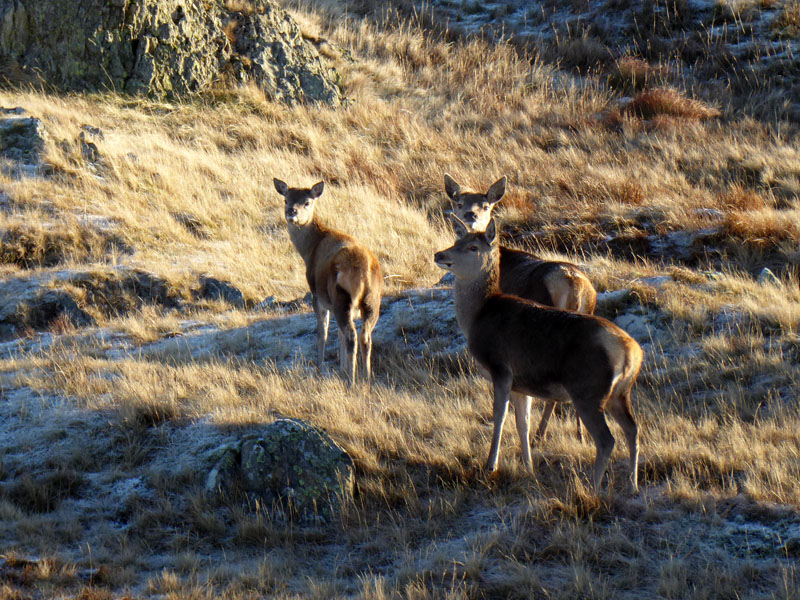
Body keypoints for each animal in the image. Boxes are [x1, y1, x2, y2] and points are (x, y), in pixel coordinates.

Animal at [274, 178, 382, 384]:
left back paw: (352, 382)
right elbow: (337, 334)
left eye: (307, 202)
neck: (309, 250)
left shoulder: (318, 296)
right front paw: (341, 369)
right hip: (372, 300)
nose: (291, 212)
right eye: (286, 199)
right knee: (365, 335)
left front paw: (320, 369)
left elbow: (322, 332)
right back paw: (366, 380)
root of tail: (364, 272)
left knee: (351, 335)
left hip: (341, 295)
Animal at [434, 217, 640, 492]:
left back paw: (593, 487)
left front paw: (490, 466)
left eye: (473, 247)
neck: (477, 317)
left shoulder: (501, 368)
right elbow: (523, 423)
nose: (439, 254)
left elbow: (499, 417)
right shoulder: (522, 384)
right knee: (632, 430)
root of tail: (631, 352)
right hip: (620, 393)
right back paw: (632, 485)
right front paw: (529, 467)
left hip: (588, 390)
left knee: (607, 439)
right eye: (457, 240)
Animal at [446, 173, 596, 440]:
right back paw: (579, 433)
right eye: (459, 202)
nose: (470, 216)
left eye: (486, 205)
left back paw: (540, 433)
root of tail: (574, 286)